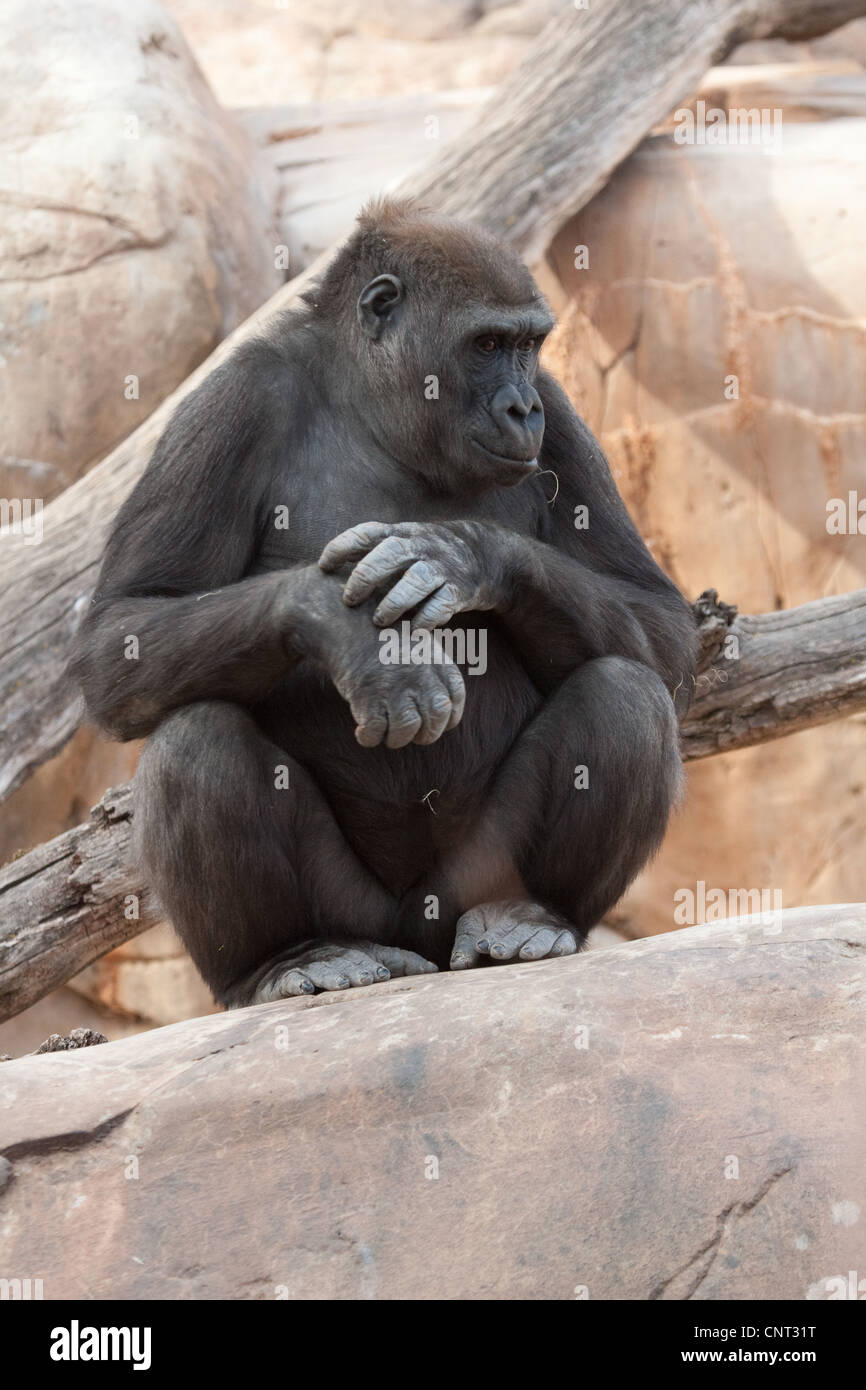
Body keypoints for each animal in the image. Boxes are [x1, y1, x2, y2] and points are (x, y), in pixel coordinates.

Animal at [71, 198, 698, 1007]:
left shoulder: (563, 417)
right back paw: (291, 956)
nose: (522, 407)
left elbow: (661, 625)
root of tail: (417, 941)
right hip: (361, 912)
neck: (369, 404)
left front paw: (467, 554)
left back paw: (527, 915)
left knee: (628, 693)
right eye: (486, 344)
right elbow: (122, 630)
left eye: (529, 347)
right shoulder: (230, 400)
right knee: (195, 741)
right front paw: (350, 635)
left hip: (461, 891)